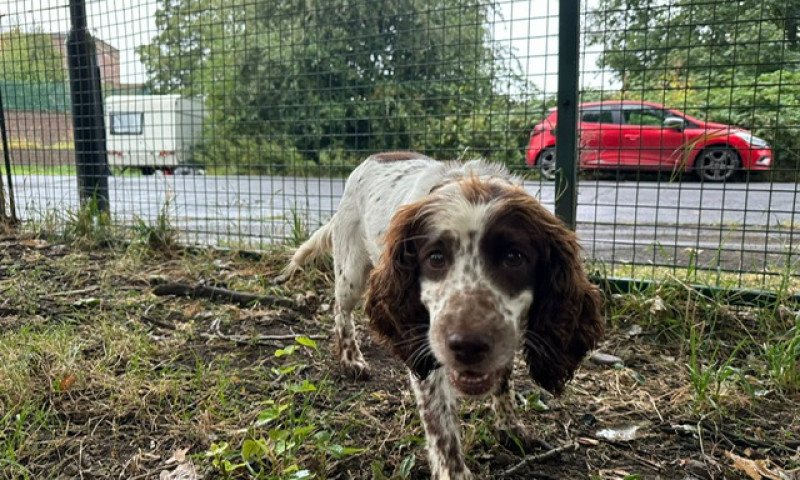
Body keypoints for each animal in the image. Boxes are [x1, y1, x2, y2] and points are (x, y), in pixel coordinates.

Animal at [284, 152, 604, 478]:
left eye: (515, 257)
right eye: (435, 257)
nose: (467, 346)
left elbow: (503, 381)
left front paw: (509, 426)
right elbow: (442, 430)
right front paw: (454, 471)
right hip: (351, 271)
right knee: (340, 310)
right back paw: (351, 359)